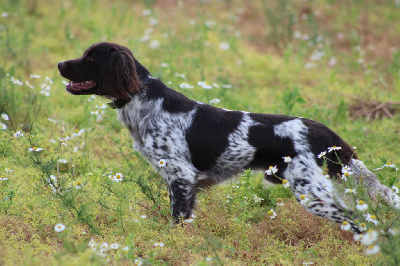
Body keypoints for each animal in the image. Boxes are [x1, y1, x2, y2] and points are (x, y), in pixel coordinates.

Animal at [57, 42, 398, 233]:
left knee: (357, 220)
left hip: (311, 192)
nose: (59, 64)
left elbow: (177, 221)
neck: (145, 103)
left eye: (91, 57)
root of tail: (328, 134)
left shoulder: (182, 176)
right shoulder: (178, 180)